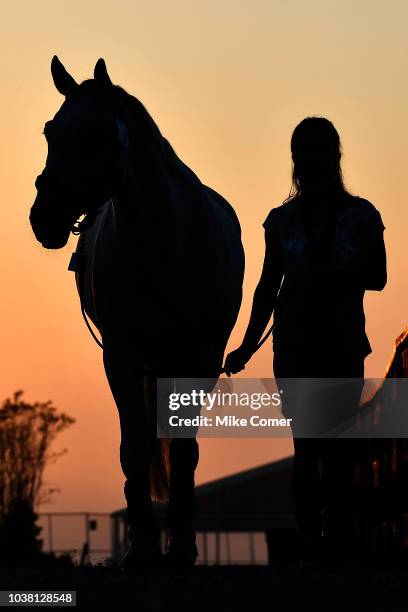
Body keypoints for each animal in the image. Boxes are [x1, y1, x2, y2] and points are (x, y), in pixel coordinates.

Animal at [30, 57, 245, 568]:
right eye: (50, 131)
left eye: (96, 134)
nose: (43, 216)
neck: (164, 247)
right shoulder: (121, 357)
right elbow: (135, 447)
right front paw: (143, 546)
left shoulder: (200, 359)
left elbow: (184, 450)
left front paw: (182, 546)